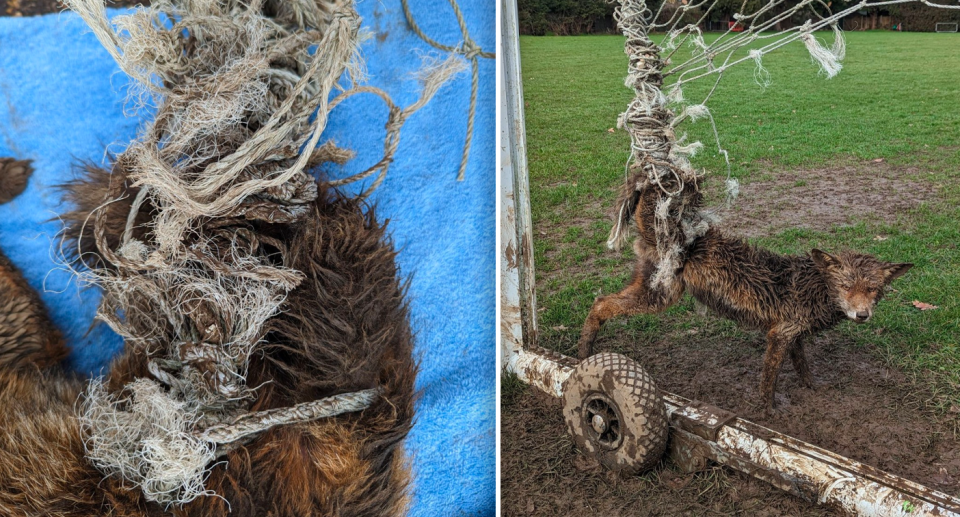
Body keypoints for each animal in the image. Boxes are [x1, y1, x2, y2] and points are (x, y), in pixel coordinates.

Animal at [576, 177, 916, 412]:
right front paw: (768, 413)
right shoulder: (779, 335)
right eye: (846, 287)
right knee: (601, 304)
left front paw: (812, 388)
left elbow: (804, 368)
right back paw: (583, 355)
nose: (862, 315)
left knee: (600, 301)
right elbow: (768, 382)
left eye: (872, 290)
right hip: (659, 299)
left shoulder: (792, 335)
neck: (815, 288)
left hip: (650, 291)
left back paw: (584, 354)